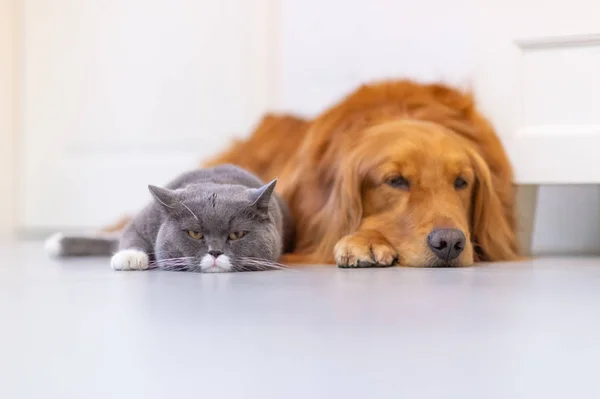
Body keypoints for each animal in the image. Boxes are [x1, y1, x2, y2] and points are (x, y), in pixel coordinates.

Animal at [45, 164, 294, 274]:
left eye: (237, 234)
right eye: (195, 233)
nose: (215, 252)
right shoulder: (146, 218)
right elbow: (130, 234)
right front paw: (130, 258)